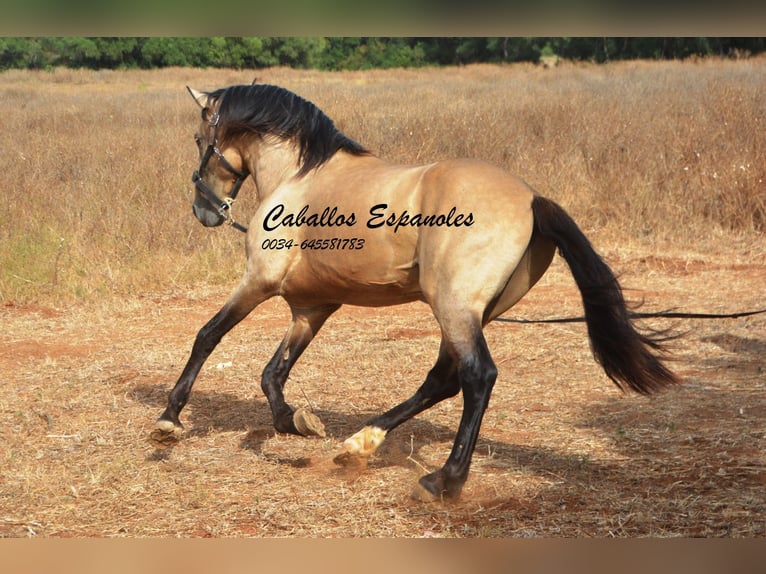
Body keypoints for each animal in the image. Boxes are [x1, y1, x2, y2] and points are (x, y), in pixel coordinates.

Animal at [153, 83, 680, 502]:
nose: (205, 211)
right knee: (442, 381)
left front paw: (169, 420)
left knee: (477, 377)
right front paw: (296, 422)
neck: (299, 178)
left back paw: (442, 481)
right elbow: (272, 373)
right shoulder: (312, 308)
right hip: (471, 312)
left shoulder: (258, 282)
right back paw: (359, 444)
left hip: (453, 307)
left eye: (200, 140)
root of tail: (531, 199)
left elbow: (208, 336)